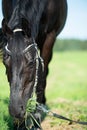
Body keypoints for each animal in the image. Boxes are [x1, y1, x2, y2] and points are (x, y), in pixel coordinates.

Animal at [0, 0, 67, 129]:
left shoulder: (50, 36)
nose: (15, 110)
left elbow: (42, 78)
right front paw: (19, 124)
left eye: (31, 62)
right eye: (5, 62)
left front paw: (36, 118)